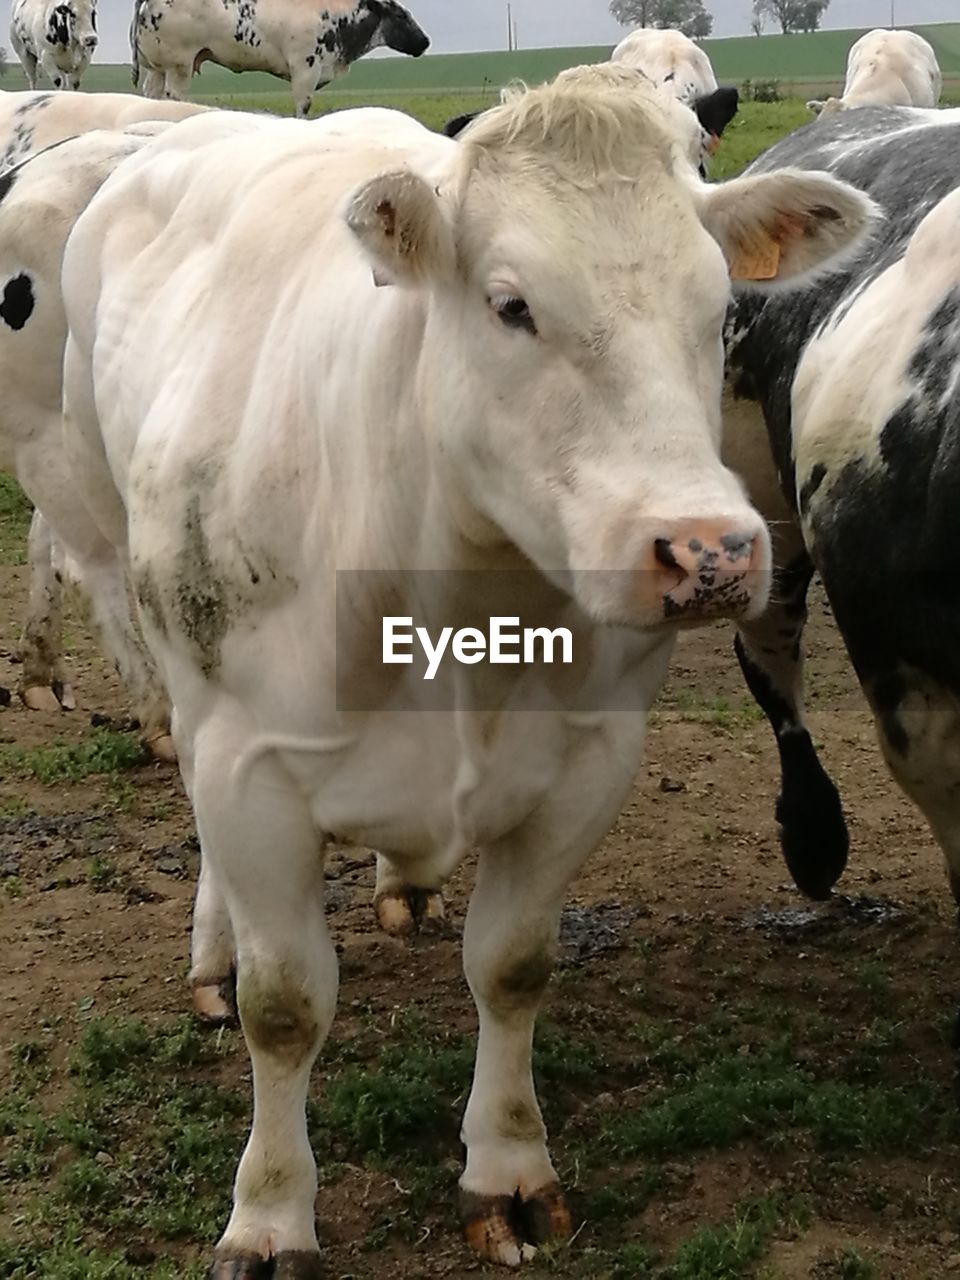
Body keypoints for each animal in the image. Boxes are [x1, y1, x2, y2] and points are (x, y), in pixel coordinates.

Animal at [56, 67, 875, 1269]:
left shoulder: (587, 763)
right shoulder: (248, 765)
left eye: (719, 307)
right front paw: (271, 1209)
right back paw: (216, 947)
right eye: (511, 304)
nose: (710, 551)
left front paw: (509, 1166)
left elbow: (513, 965)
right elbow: (284, 1005)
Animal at [129, 0, 430, 120]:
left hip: (156, 68)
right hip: (178, 65)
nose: (425, 41)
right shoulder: (305, 69)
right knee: (174, 97)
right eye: (401, 14)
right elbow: (303, 109)